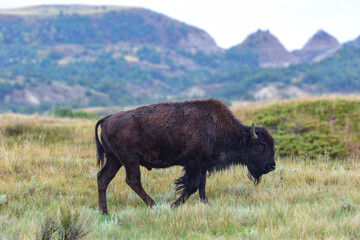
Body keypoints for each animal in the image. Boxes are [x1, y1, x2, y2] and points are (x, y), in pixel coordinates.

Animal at [95, 98, 276, 215]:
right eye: (261, 146)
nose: (272, 166)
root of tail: (107, 118)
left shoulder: (202, 166)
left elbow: (202, 185)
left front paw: (206, 204)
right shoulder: (193, 164)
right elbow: (193, 185)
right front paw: (173, 205)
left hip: (115, 159)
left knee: (103, 178)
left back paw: (105, 212)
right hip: (130, 160)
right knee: (133, 180)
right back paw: (154, 206)